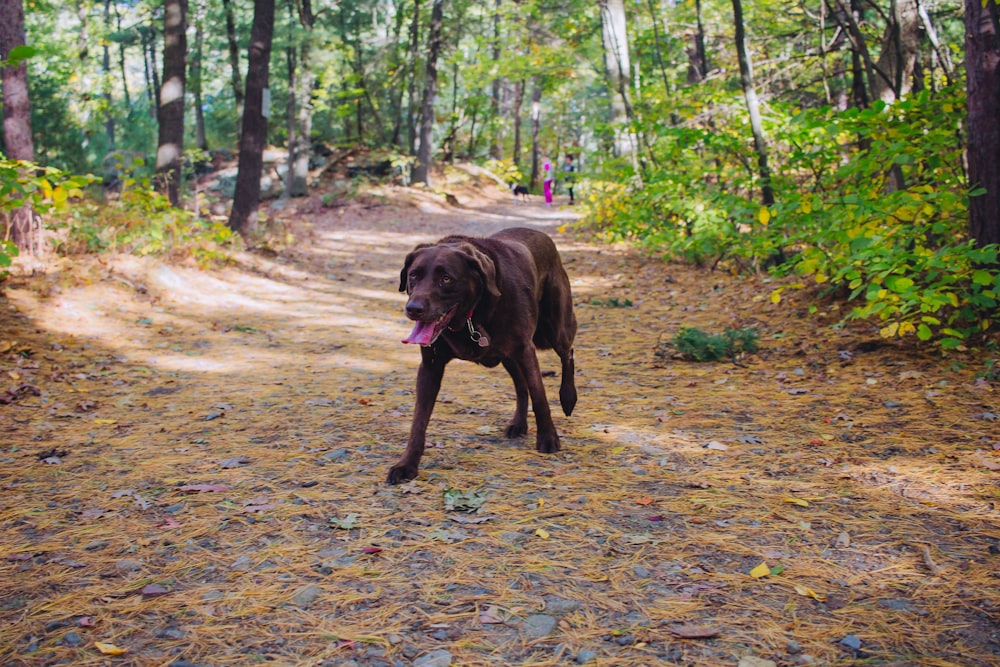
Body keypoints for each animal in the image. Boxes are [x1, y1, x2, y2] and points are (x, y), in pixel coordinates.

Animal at [388, 227, 580, 482]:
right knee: (521, 385)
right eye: (414, 276)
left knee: (567, 352)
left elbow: (540, 396)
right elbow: (418, 420)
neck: (472, 314)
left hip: (553, 329)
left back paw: (568, 398)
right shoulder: (430, 366)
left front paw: (548, 438)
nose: (413, 308)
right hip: (508, 355)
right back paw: (519, 423)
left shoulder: (525, 349)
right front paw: (407, 464)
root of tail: (541, 234)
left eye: (446, 278)